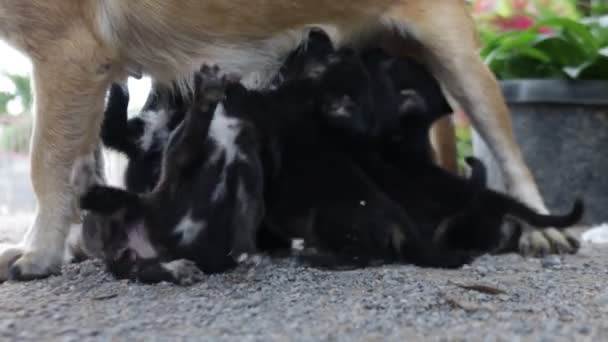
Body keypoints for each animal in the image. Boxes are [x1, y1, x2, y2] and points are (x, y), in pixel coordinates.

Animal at [0, 0, 580, 280]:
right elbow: (81, 159)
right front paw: (68, 242)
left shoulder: (68, 55)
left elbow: (47, 162)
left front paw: (39, 252)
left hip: (460, 59)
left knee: (508, 150)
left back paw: (539, 228)